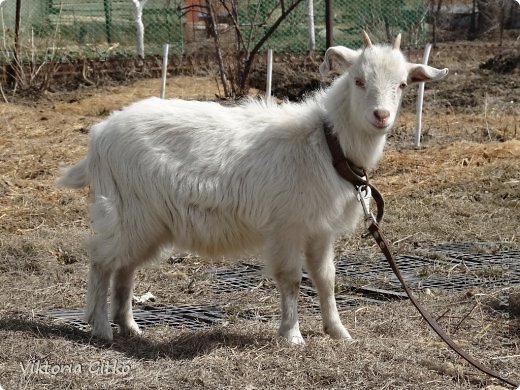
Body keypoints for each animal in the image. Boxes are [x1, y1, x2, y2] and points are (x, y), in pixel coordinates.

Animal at [57, 34, 446, 344]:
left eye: (403, 85)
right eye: (359, 80)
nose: (381, 116)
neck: (325, 143)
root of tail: (99, 135)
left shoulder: (319, 229)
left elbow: (326, 279)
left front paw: (338, 332)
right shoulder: (286, 225)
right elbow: (291, 279)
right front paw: (292, 335)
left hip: (147, 222)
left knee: (124, 268)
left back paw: (129, 327)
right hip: (128, 212)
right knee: (101, 260)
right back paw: (101, 328)